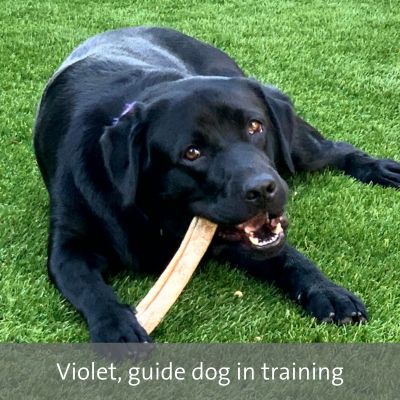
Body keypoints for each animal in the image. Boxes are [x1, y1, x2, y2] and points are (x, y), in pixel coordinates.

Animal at [33, 26, 400, 342]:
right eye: (192, 153)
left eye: (255, 126)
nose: (262, 189)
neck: (155, 219)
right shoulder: (68, 247)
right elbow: (90, 289)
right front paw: (117, 326)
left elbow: (290, 257)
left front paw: (327, 291)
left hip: (297, 149)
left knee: (338, 148)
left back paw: (381, 169)